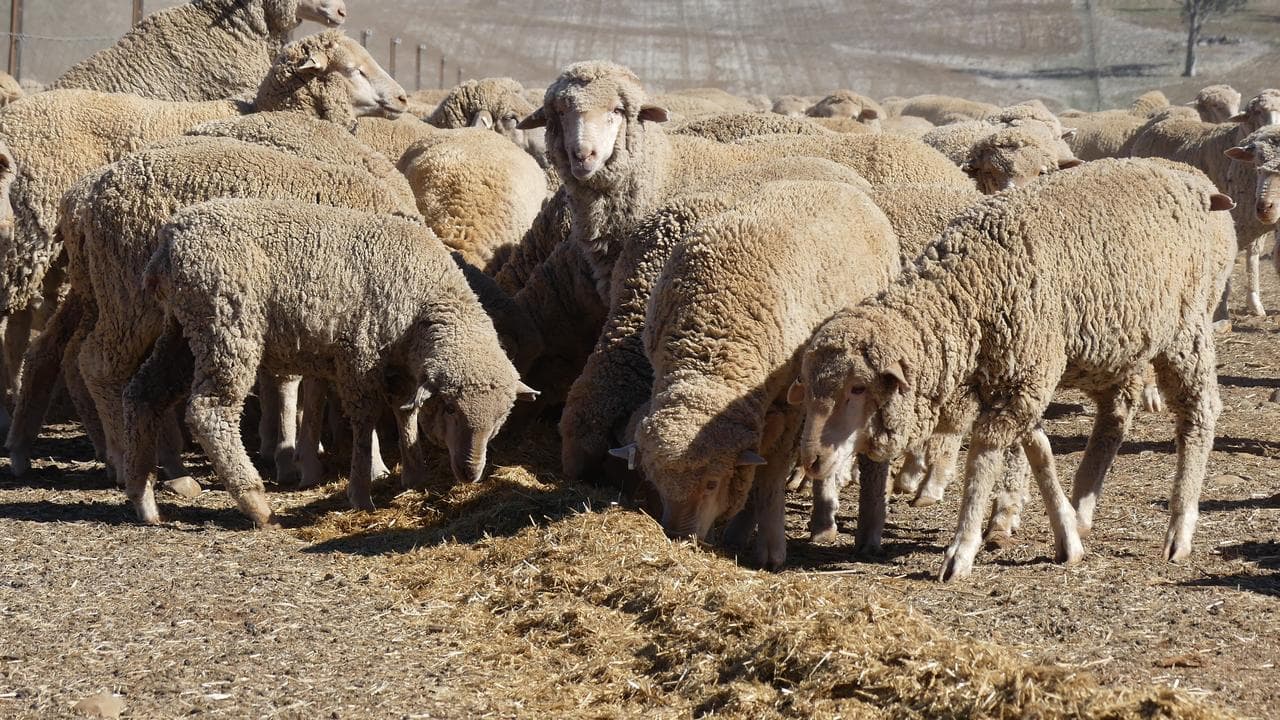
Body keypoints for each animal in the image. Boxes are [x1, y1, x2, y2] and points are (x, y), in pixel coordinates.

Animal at [124, 198, 534, 525]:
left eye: (502, 417)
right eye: (450, 408)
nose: (469, 472)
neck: (426, 300)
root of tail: (168, 244)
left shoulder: (401, 367)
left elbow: (406, 412)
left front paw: (414, 475)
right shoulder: (361, 357)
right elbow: (366, 423)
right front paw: (361, 493)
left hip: (183, 329)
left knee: (142, 394)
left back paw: (144, 499)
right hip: (226, 323)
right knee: (209, 411)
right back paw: (255, 502)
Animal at [628, 180, 899, 569]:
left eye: (712, 483)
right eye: (656, 481)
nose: (679, 537)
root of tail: (845, 188)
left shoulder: (789, 404)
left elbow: (769, 474)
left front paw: (769, 546)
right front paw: (742, 528)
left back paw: (849, 528)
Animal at [791, 158, 1236, 581]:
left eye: (858, 388)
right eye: (811, 388)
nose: (811, 460)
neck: (970, 289)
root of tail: (1188, 183)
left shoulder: (1024, 374)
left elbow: (984, 458)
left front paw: (963, 547)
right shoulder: (1019, 375)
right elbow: (1039, 449)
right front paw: (1066, 535)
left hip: (1184, 329)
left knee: (1198, 413)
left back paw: (1180, 528)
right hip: (1115, 346)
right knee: (1115, 417)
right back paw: (1083, 508)